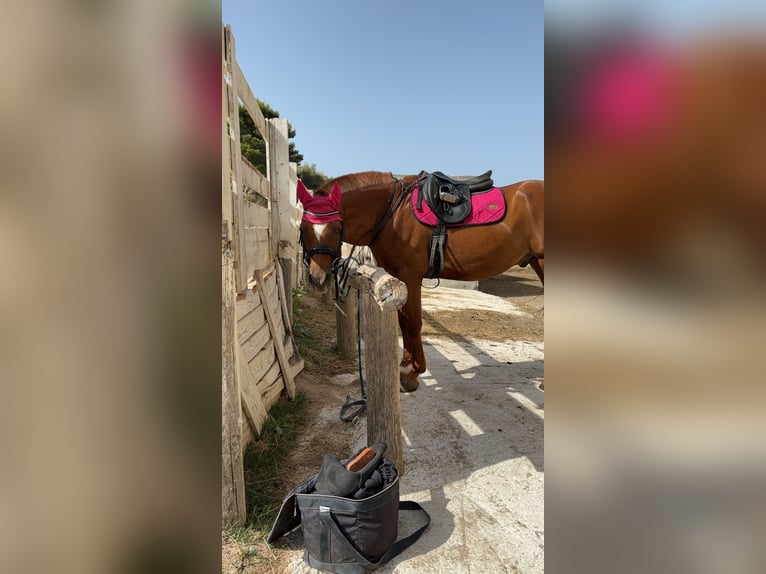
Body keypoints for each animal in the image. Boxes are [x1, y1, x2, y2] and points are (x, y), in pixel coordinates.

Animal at [297, 171, 544, 392]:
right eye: (303, 228)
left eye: (337, 228)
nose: (319, 279)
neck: (392, 214)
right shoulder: (398, 279)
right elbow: (403, 321)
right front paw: (406, 368)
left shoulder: (410, 276)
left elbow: (412, 323)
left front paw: (410, 374)